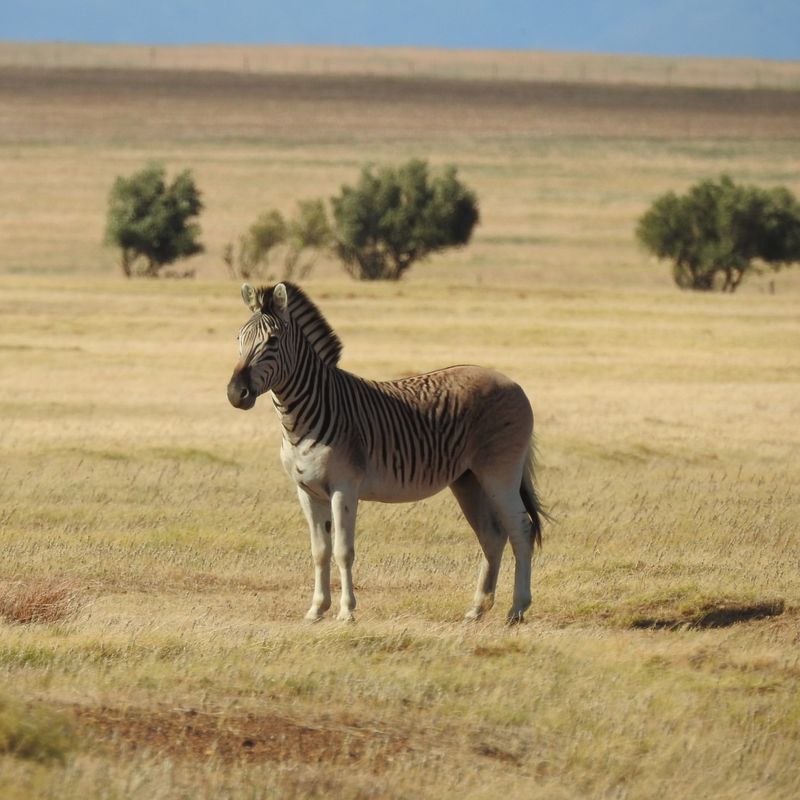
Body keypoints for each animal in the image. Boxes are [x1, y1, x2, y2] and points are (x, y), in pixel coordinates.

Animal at [228, 282, 548, 624]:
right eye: (238, 339)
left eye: (272, 341)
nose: (235, 393)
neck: (303, 415)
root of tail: (511, 381)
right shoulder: (307, 491)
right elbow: (319, 551)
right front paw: (316, 609)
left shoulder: (344, 487)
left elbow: (343, 550)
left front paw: (346, 612)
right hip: (467, 480)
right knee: (492, 534)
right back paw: (476, 609)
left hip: (500, 473)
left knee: (521, 529)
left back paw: (517, 609)